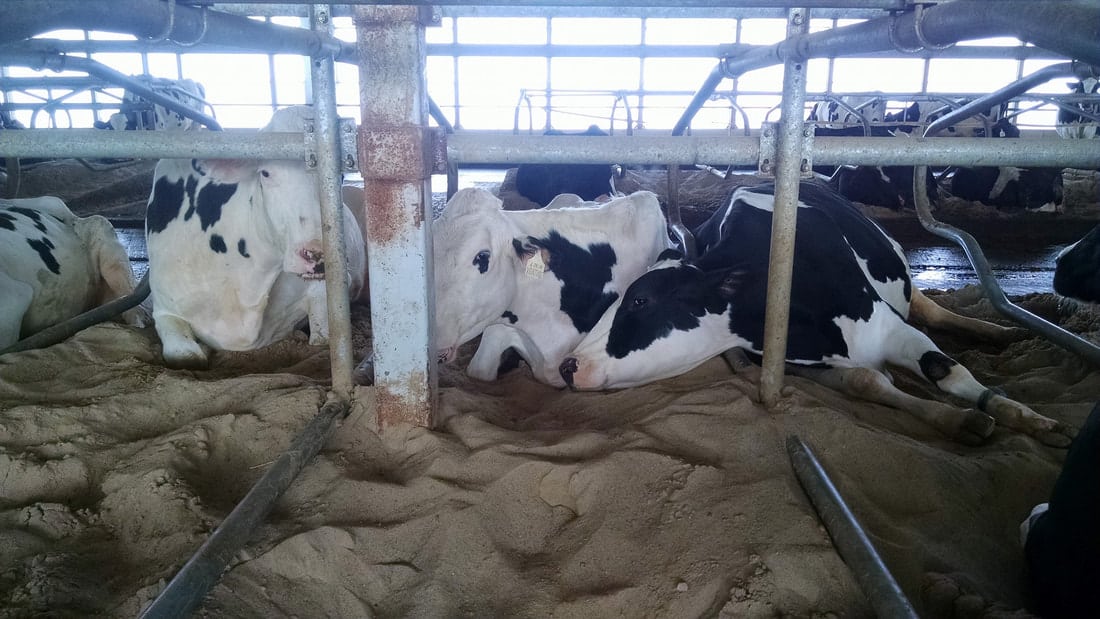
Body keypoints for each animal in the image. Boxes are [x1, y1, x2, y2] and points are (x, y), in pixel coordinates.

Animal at [144, 104, 367, 371]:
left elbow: (322, 340)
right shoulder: (164, 310)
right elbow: (186, 357)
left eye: (340, 175)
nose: (317, 254)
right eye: (266, 173)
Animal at [558, 181, 1073, 448]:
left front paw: (1025, 417)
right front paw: (957, 420)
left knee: (928, 306)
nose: (567, 366)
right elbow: (868, 381)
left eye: (640, 301)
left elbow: (946, 371)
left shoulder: (889, 326)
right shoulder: (782, 359)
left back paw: (997, 331)